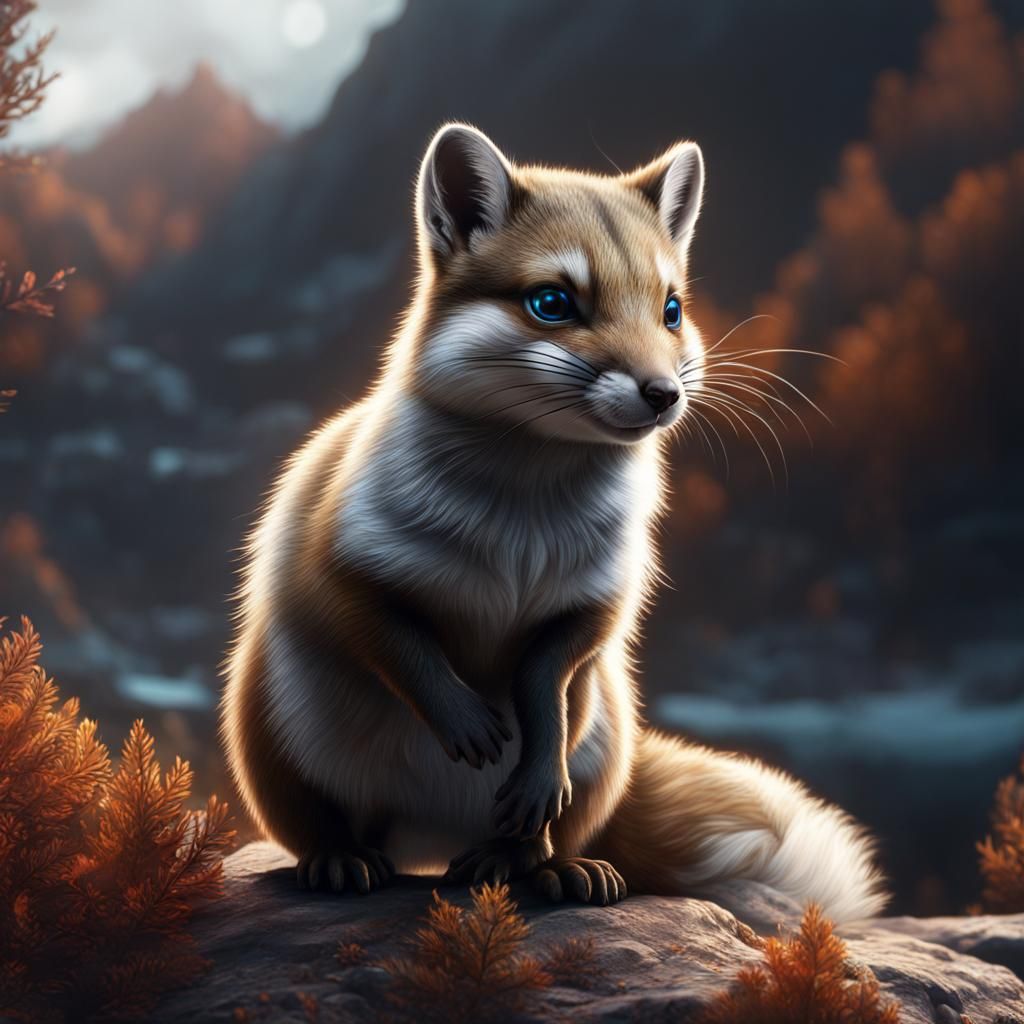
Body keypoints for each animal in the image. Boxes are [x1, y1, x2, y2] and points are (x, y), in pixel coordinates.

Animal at [221, 124, 886, 922]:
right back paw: (342, 860)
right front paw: (467, 720)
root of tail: (431, 844)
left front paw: (531, 771)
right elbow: (403, 649)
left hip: (605, 738)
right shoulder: (336, 568)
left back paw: (541, 869)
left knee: (543, 835)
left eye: (670, 309)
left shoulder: (595, 602)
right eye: (552, 302)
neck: (520, 535)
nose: (663, 394)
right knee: (325, 825)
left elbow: (544, 694)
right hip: (275, 740)